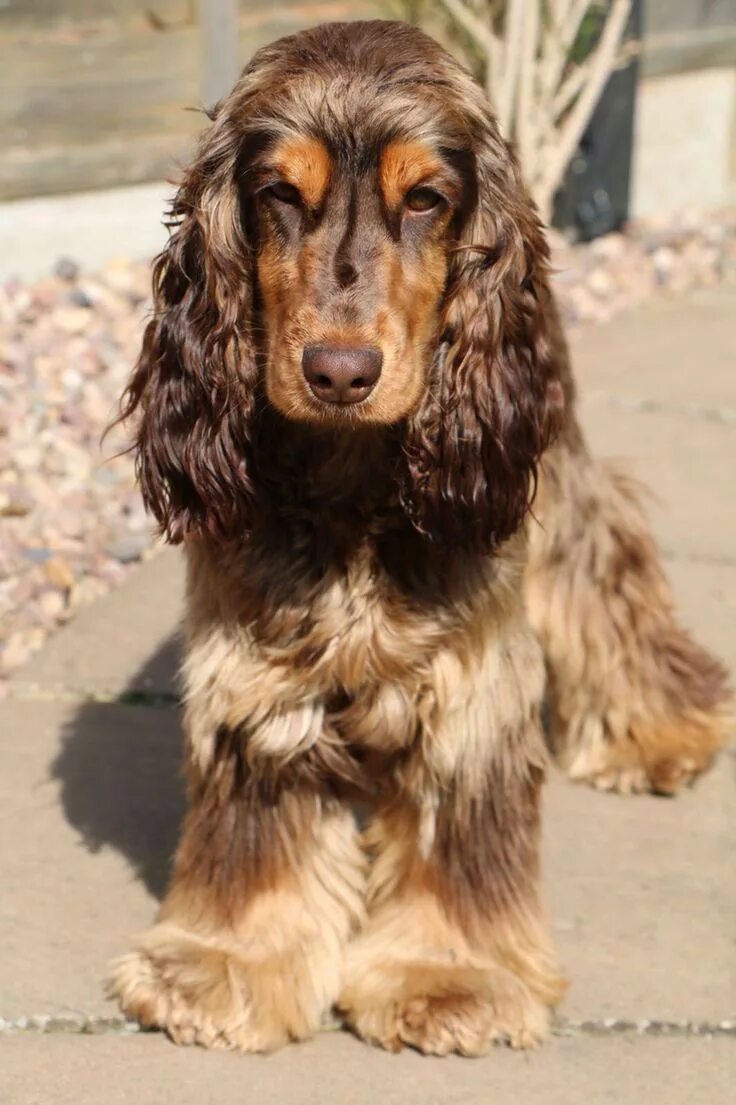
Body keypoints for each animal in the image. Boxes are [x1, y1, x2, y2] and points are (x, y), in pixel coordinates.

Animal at [107, 17, 729, 1051]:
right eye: (280, 194)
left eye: (427, 199)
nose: (340, 371)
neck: (354, 478)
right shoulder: (260, 663)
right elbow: (259, 825)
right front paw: (226, 964)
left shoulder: (473, 675)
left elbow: (455, 830)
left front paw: (449, 977)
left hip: (556, 474)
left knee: (604, 568)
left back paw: (656, 726)